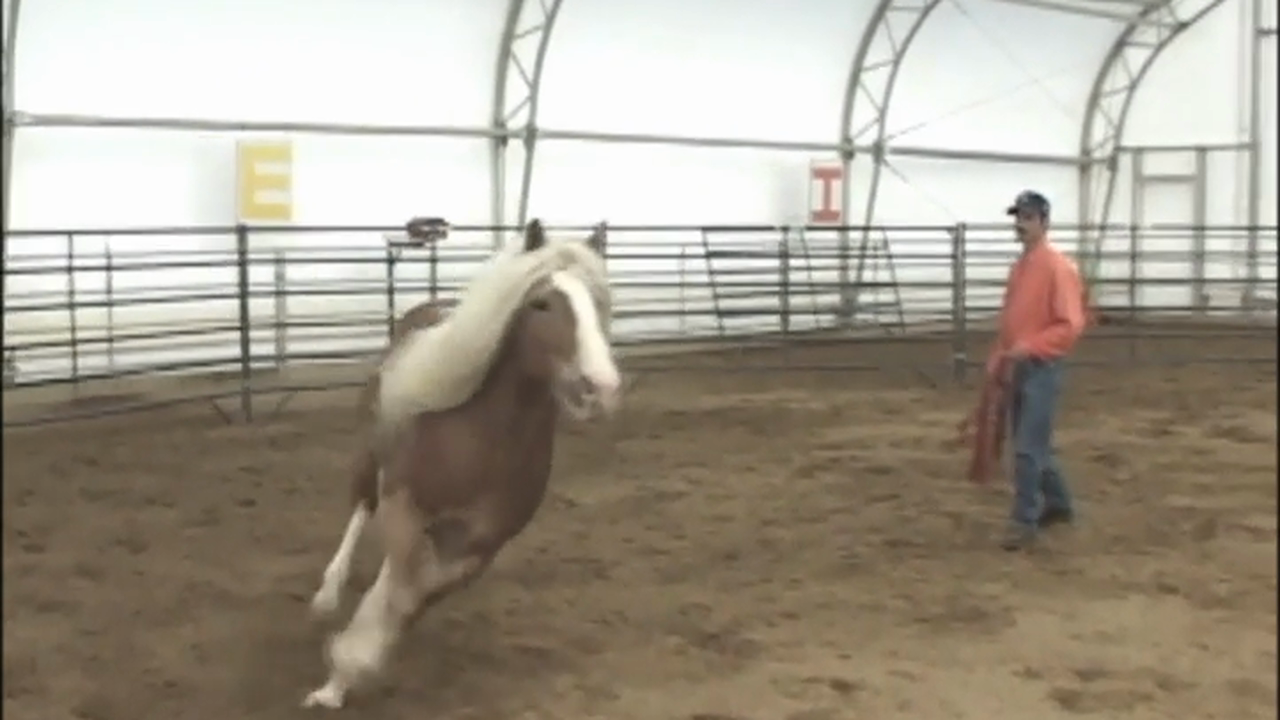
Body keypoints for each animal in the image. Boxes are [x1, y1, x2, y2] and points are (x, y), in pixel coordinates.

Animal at [302, 219, 620, 710]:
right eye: (541, 303)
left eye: (601, 301)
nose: (599, 387)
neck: (482, 441)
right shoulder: (405, 506)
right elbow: (397, 586)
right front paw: (335, 682)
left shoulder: (479, 548)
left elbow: (412, 597)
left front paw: (354, 663)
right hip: (371, 456)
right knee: (360, 508)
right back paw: (328, 593)